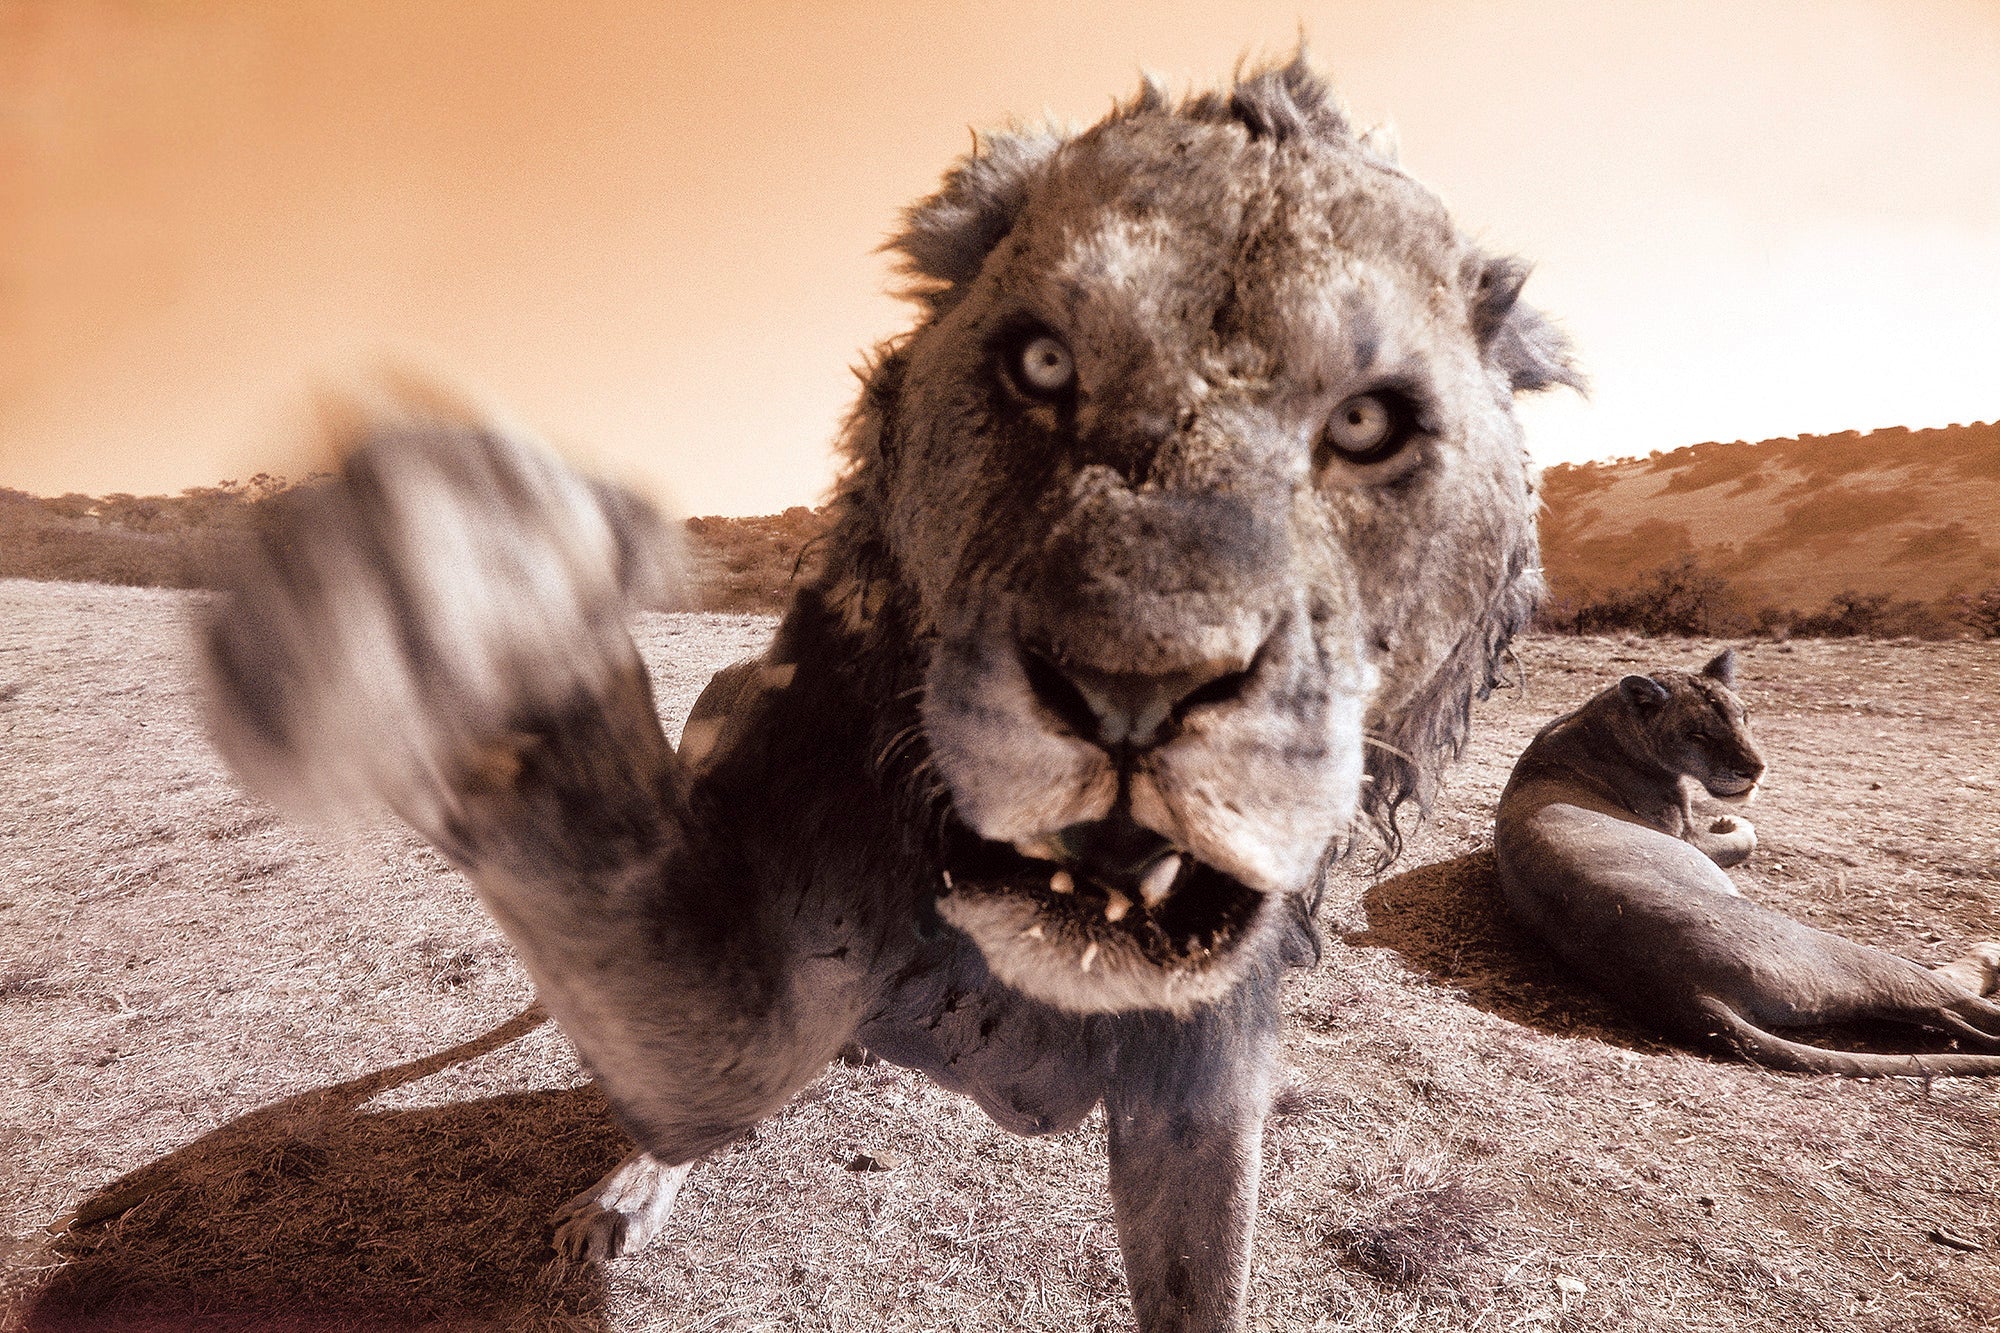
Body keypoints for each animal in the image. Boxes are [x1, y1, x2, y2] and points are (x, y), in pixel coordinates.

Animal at [201, 55, 1581, 1331]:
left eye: (1362, 425)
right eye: (1040, 362)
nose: (1128, 687)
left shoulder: (1203, 1085)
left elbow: (1206, 1275)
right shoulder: (768, 961)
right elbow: (686, 1022)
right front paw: (461, 596)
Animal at [1494, 649, 2000, 1076]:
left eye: (1743, 717)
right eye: (1698, 734)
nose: (1755, 769)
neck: (1598, 718)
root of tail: (1680, 991)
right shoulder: (1683, 833)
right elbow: (1744, 840)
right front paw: (1731, 821)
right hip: (1838, 952)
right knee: (1945, 993)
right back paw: (1987, 956)